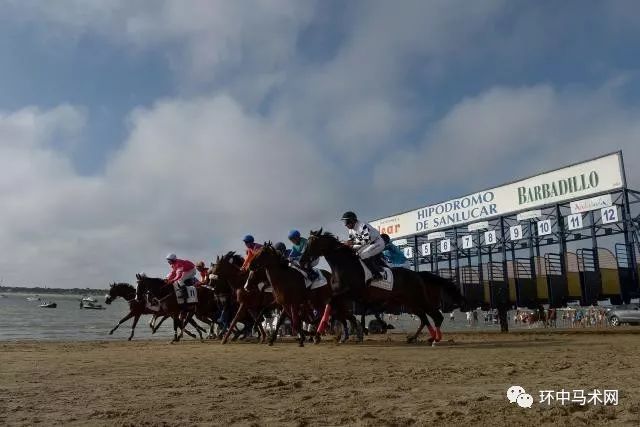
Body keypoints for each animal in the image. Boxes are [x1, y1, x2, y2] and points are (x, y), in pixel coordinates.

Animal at [302, 231, 448, 344]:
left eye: (311, 243)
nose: (302, 260)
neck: (345, 266)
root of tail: (416, 274)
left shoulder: (349, 293)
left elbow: (334, 307)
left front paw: (316, 333)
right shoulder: (344, 295)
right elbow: (332, 309)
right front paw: (318, 333)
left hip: (417, 297)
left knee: (435, 315)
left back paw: (435, 338)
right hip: (408, 302)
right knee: (423, 317)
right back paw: (419, 338)